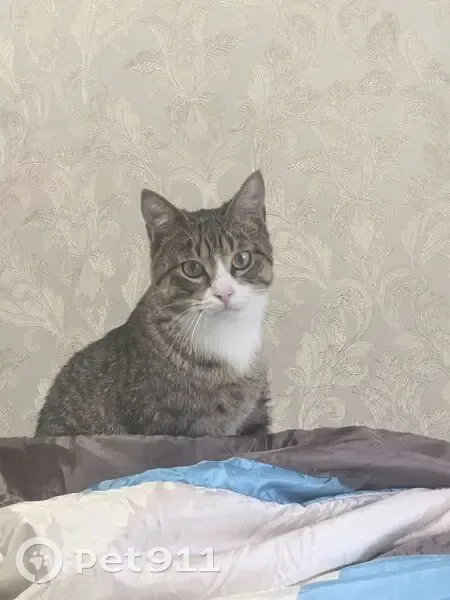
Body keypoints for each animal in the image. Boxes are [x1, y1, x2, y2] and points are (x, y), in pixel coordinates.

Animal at [34, 170, 274, 437]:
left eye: (241, 259)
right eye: (192, 268)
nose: (224, 293)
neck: (228, 338)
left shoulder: (255, 419)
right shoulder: (169, 427)